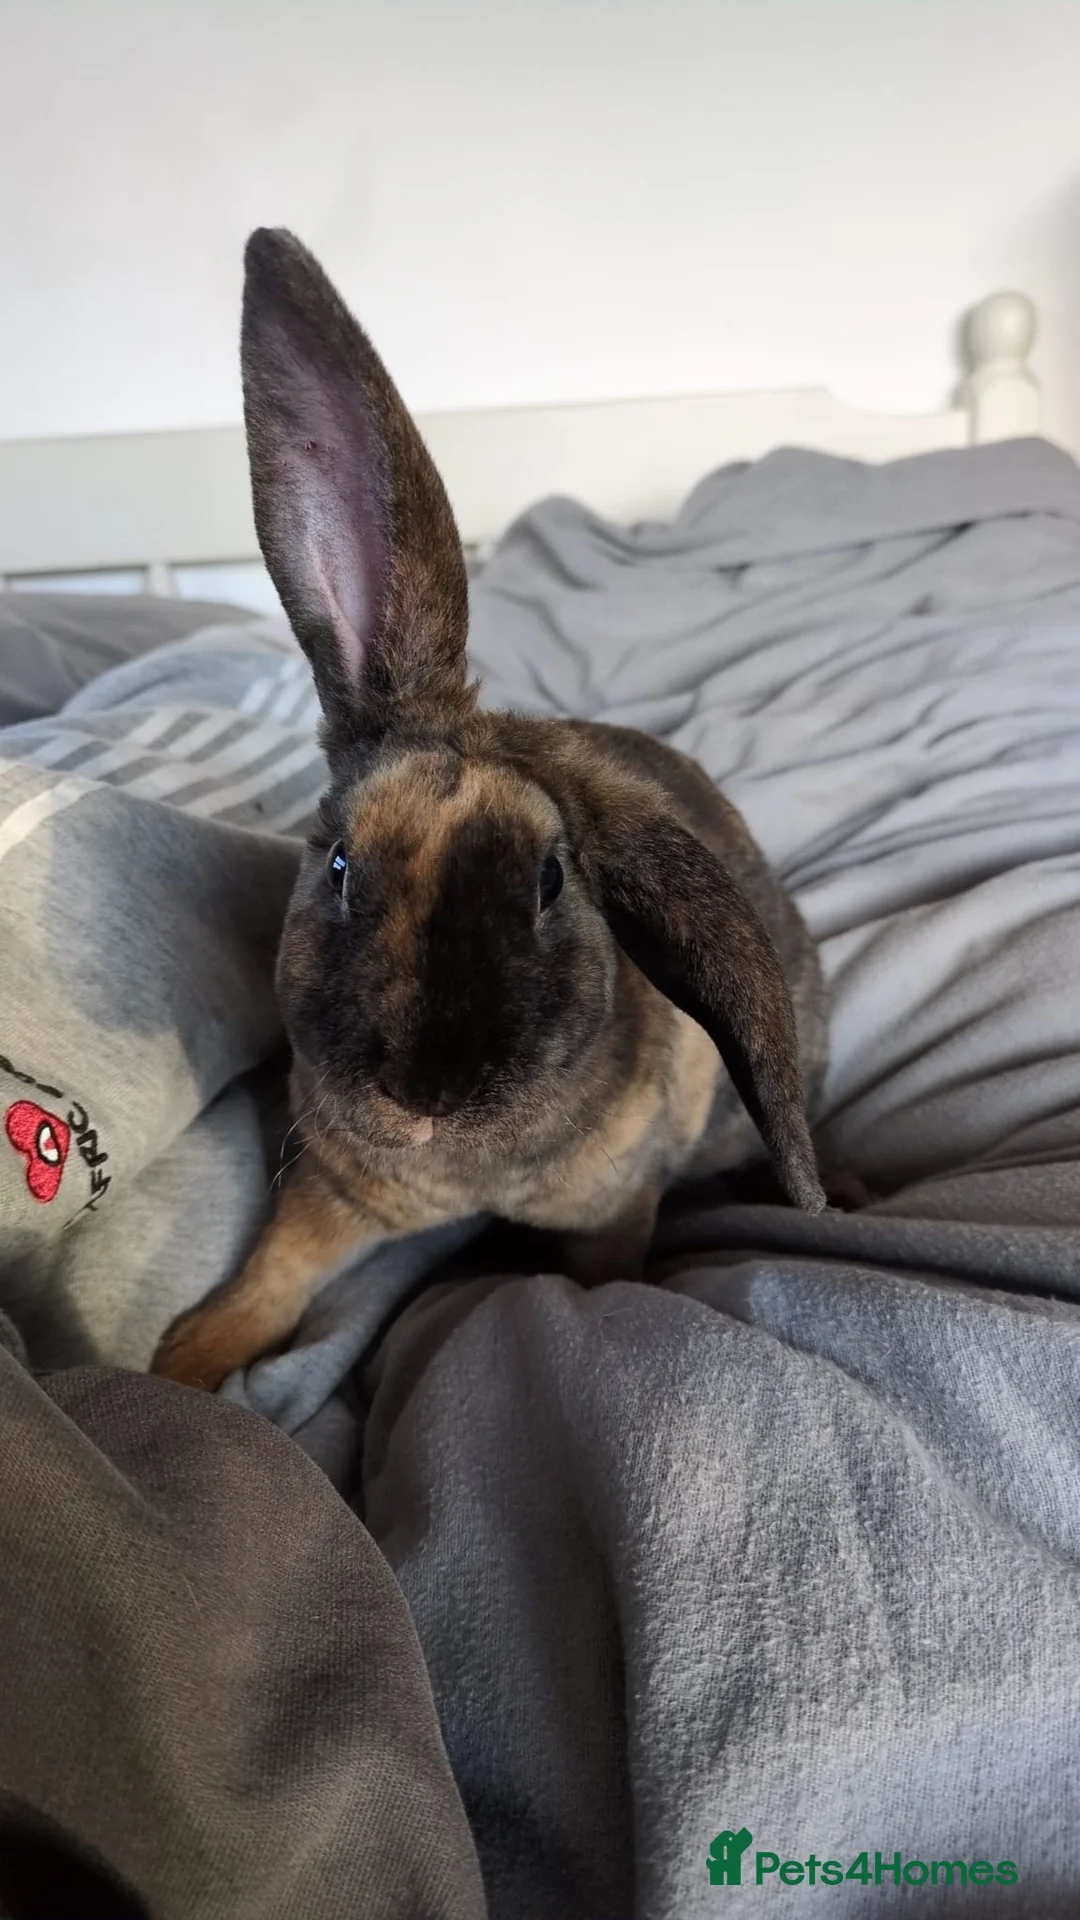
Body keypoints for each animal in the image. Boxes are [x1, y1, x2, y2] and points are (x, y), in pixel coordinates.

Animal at [151, 228, 827, 1392]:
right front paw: (179, 1368)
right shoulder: (331, 1192)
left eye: (550, 884)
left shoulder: (616, 1214)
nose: (424, 1090)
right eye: (338, 866)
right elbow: (271, 1282)